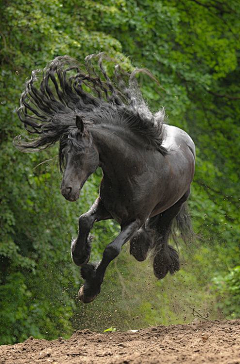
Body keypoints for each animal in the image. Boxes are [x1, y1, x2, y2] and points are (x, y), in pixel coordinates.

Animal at [16, 53, 195, 302]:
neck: (133, 173)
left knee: (162, 233)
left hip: (174, 205)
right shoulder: (106, 207)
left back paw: (157, 262)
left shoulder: (134, 219)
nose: (67, 190)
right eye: (64, 153)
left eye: (80, 152)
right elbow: (84, 220)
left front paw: (89, 289)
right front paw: (80, 255)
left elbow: (112, 249)